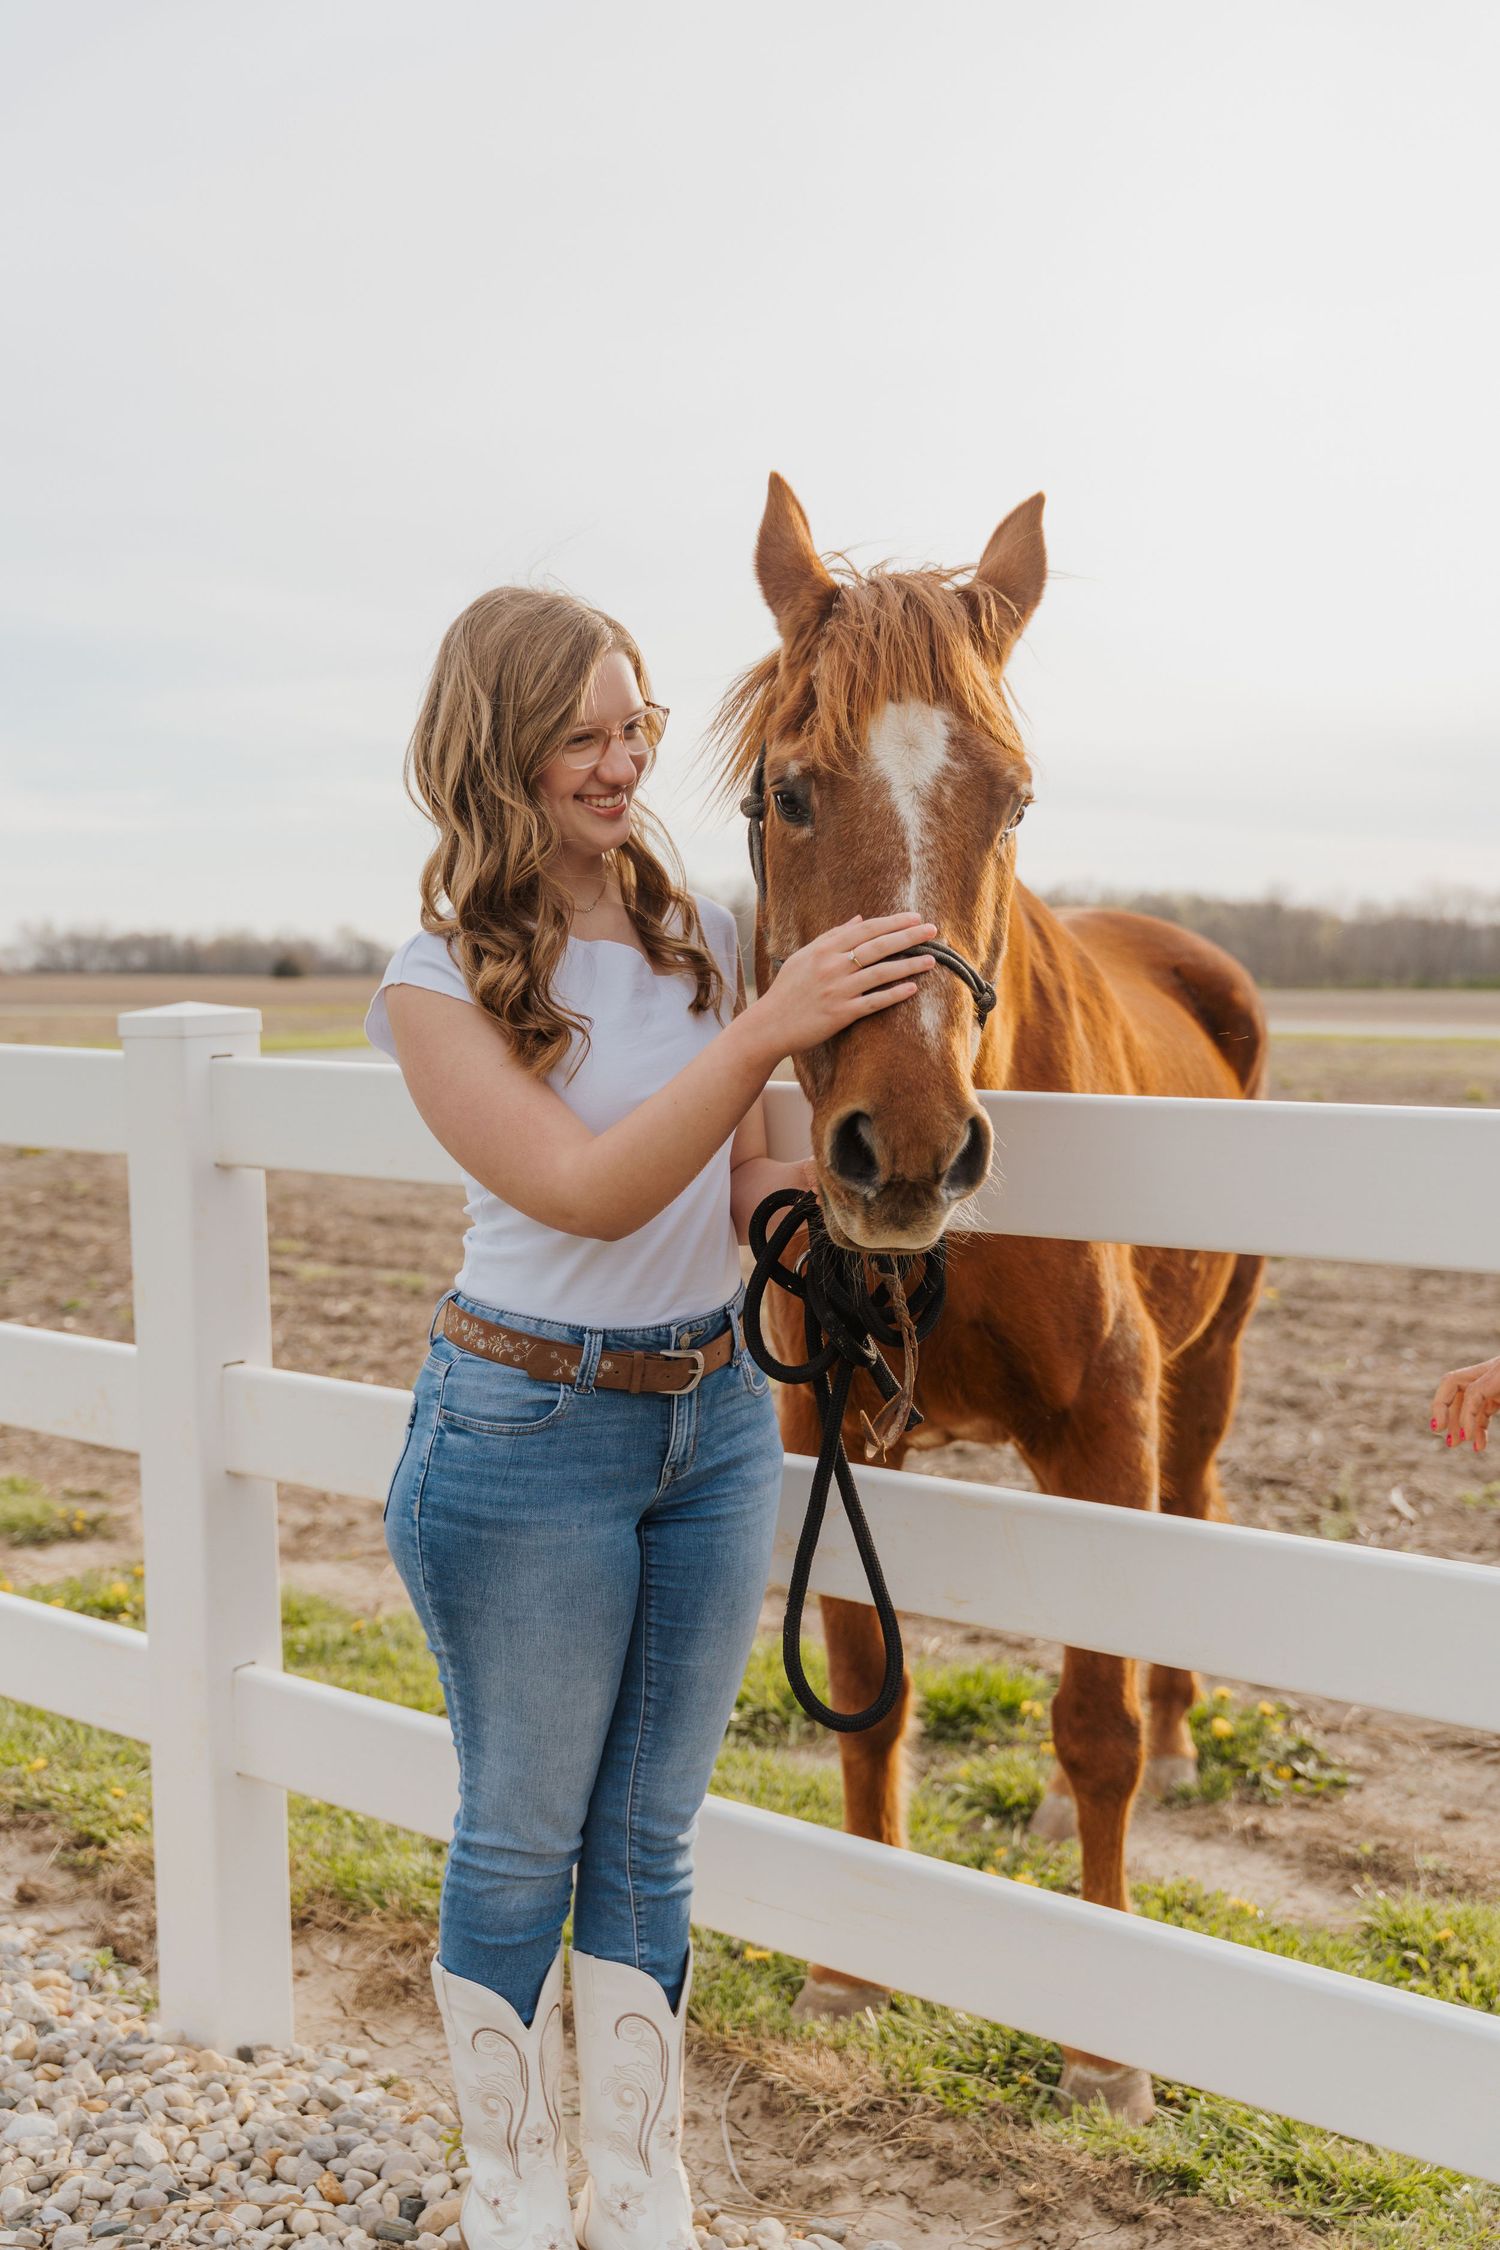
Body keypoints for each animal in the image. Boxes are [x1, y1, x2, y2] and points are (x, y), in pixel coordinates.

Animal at [710, 473, 1269, 2124]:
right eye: (787, 791)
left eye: (1012, 799)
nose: (905, 1145)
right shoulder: (829, 1428)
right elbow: (863, 1680)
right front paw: (852, 1962)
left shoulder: (1103, 1431)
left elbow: (1092, 1729)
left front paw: (1104, 2044)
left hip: (1207, 1370)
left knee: (1194, 1518)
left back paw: (1187, 1732)